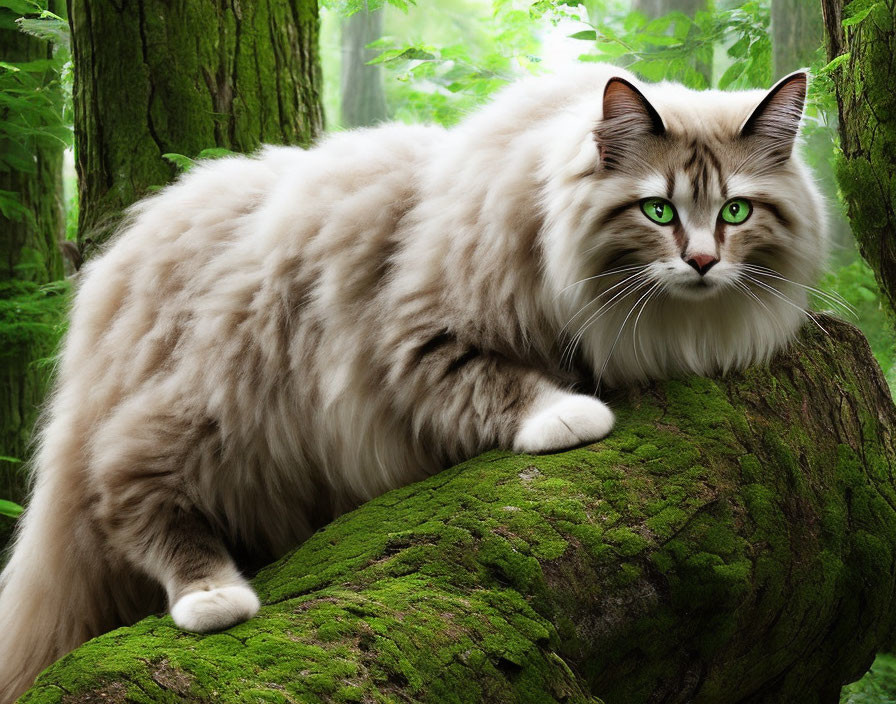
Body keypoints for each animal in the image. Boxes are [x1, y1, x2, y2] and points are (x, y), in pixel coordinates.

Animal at [0, 63, 824, 700]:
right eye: (657, 210)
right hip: (212, 404)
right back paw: (215, 598)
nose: (702, 263)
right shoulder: (413, 333)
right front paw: (569, 414)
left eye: (736, 211)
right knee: (125, 487)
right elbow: (494, 384)